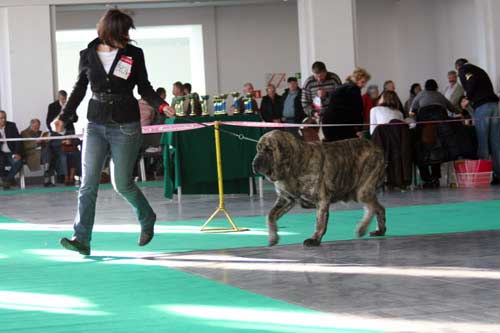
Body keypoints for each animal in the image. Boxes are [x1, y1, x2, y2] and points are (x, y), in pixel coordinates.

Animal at [254, 130, 386, 246]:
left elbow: (320, 221)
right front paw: (273, 237)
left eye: (269, 150)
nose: (254, 163)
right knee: (379, 208)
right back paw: (380, 230)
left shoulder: (321, 199)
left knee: (372, 208)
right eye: (258, 149)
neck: (294, 165)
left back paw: (362, 228)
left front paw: (314, 239)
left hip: (362, 190)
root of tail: (377, 148)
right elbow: (270, 216)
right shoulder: (285, 199)